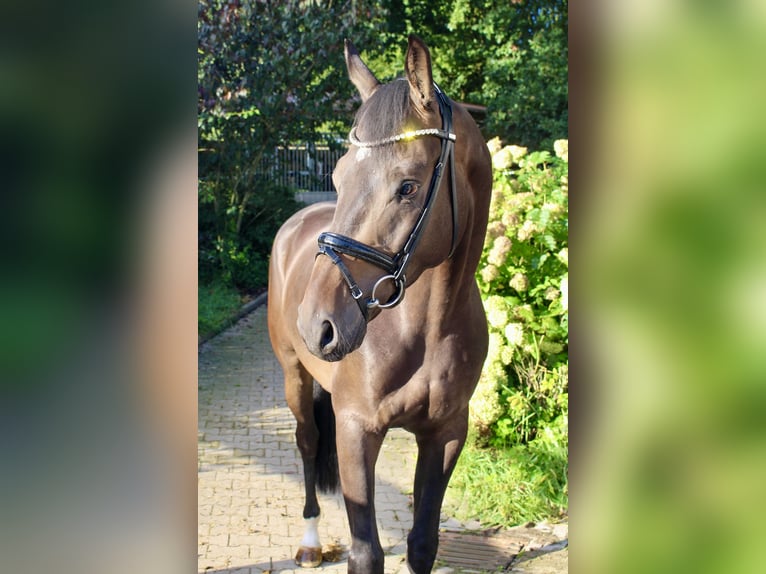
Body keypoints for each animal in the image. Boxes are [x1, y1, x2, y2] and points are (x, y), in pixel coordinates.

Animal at [268, 37, 492, 574]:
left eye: (407, 186)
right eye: (337, 175)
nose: (318, 325)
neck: (425, 328)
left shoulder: (446, 434)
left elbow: (423, 543)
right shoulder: (355, 431)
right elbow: (366, 551)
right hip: (294, 376)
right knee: (308, 443)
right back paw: (310, 542)